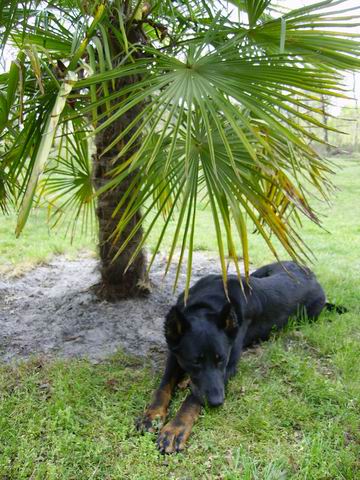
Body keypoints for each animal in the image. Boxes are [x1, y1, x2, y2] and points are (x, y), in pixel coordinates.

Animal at [136, 262, 344, 454]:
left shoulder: (228, 368)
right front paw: (152, 415)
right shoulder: (175, 354)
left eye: (221, 360)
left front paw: (175, 428)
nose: (217, 402)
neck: (207, 304)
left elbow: (192, 399)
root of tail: (311, 274)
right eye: (195, 362)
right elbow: (163, 387)